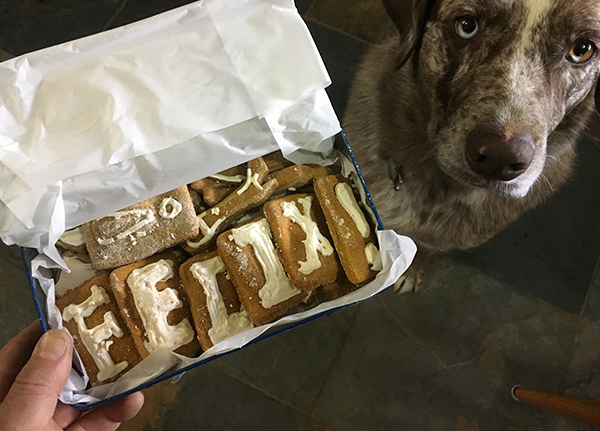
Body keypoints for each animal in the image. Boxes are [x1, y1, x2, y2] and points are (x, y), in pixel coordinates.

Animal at [342, 0, 600, 292]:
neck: (434, 182)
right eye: (467, 26)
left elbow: (425, 247)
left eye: (581, 50)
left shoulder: (442, 238)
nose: (499, 159)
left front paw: (411, 269)